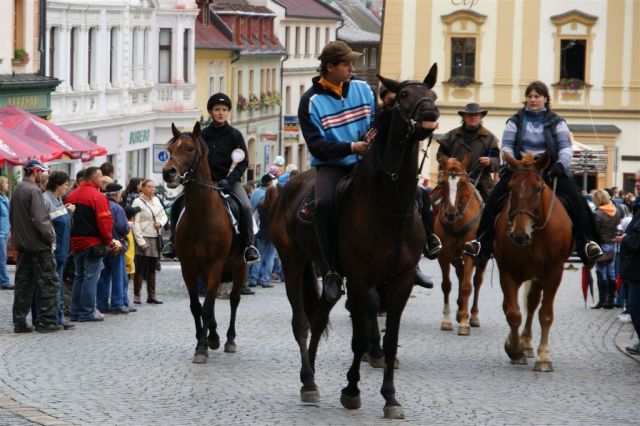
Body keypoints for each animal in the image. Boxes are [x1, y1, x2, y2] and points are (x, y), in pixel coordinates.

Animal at [162, 121, 248, 364]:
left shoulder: (216, 266)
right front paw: (205, 339)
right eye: (169, 149)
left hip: (239, 267)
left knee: (234, 300)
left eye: (190, 149)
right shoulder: (189, 267)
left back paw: (229, 339)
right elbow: (196, 306)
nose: (168, 172)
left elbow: (208, 307)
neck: (202, 217)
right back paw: (214, 335)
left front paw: (202, 347)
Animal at [270, 64, 440, 420]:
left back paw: (311, 375)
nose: (430, 114)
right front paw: (351, 390)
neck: (389, 206)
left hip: (328, 271)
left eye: (432, 93)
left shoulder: (401, 281)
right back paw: (308, 380)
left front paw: (390, 398)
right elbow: (360, 337)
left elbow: (390, 339)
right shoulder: (362, 281)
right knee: (301, 321)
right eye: (405, 94)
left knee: (320, 314)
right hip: (292, 261)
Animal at [432, 155, 488, 334]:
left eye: (462, 183)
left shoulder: (469, 254)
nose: (450, 213)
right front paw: (447, 320)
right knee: (461, 273)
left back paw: (473, 316)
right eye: (443, 183)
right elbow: (446, 285)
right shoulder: (443, 256)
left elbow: (466, 287)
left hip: (481, 259)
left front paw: (464, 322)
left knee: (476, 282)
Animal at [490, 151, 568, 372]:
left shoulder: (554, 273)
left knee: (533, 304)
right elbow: (513, 312)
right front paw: (514, 349)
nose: (519, 235)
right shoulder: (507, 271)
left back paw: (527, 344)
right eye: (510, 187)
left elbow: (545, 314)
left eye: (539, 188)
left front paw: (544, 358)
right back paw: (521, 345)